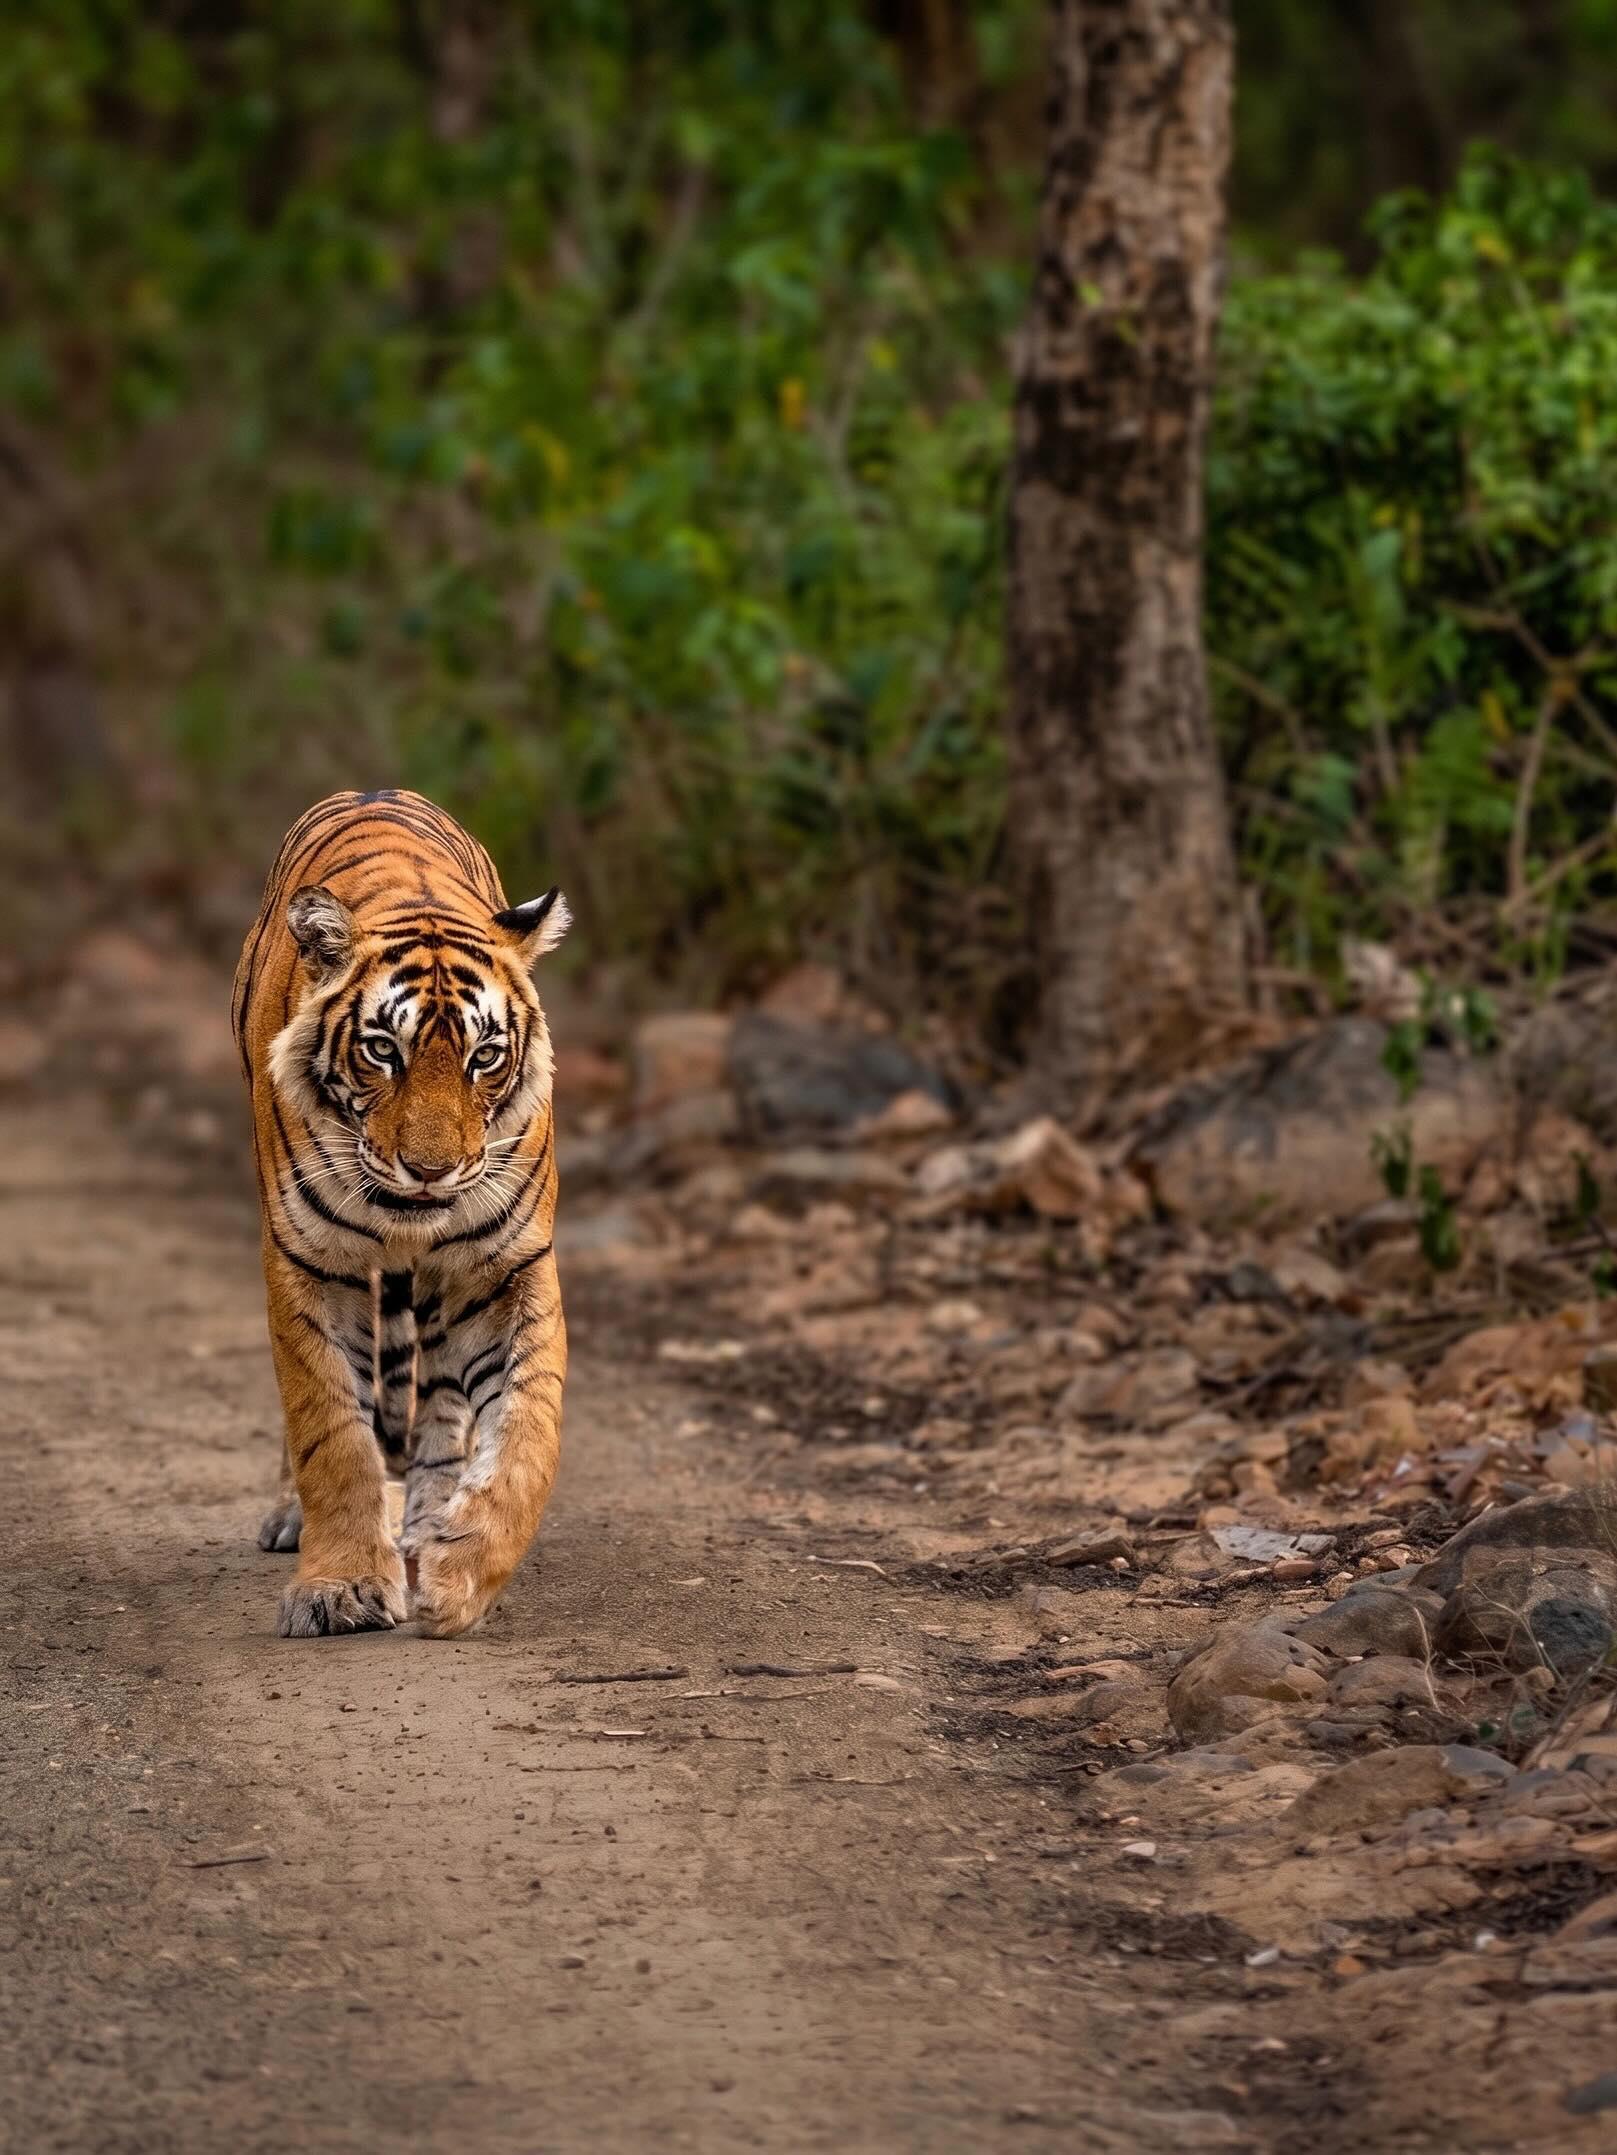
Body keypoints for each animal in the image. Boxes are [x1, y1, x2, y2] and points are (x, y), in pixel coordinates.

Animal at [231, 788, 570, 1639]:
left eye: (485, 1056)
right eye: (383, 1049)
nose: (431, 1170)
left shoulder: (503, 1267)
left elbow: (529, 1429)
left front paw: (462, 1571)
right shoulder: (309, 1262)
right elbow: (330, 1430)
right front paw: (341, 1587)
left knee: (442, 1404)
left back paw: (426, 1526)